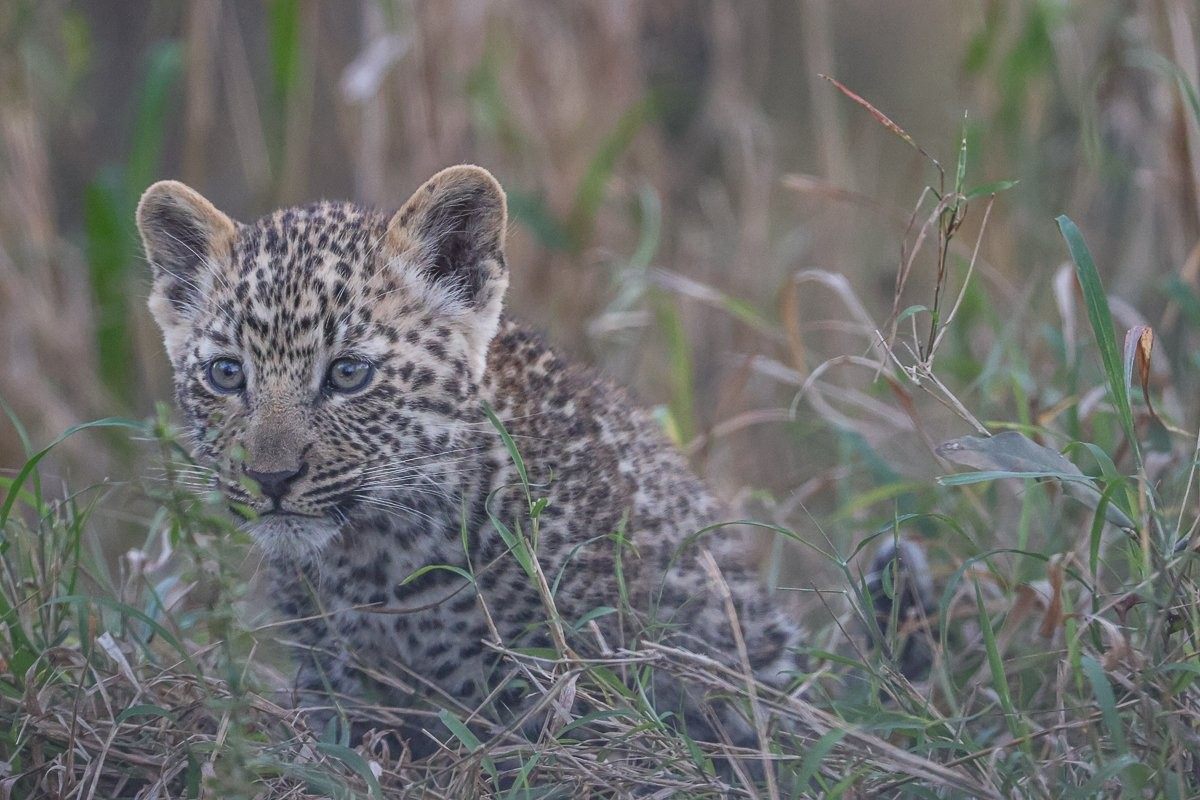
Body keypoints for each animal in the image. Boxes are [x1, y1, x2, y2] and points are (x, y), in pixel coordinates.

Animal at [137, 165, 922, 764]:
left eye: (350, 374)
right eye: (228, 375)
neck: (378, 556)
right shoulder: (337, 681)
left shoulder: (586, 672)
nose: (269, 479)